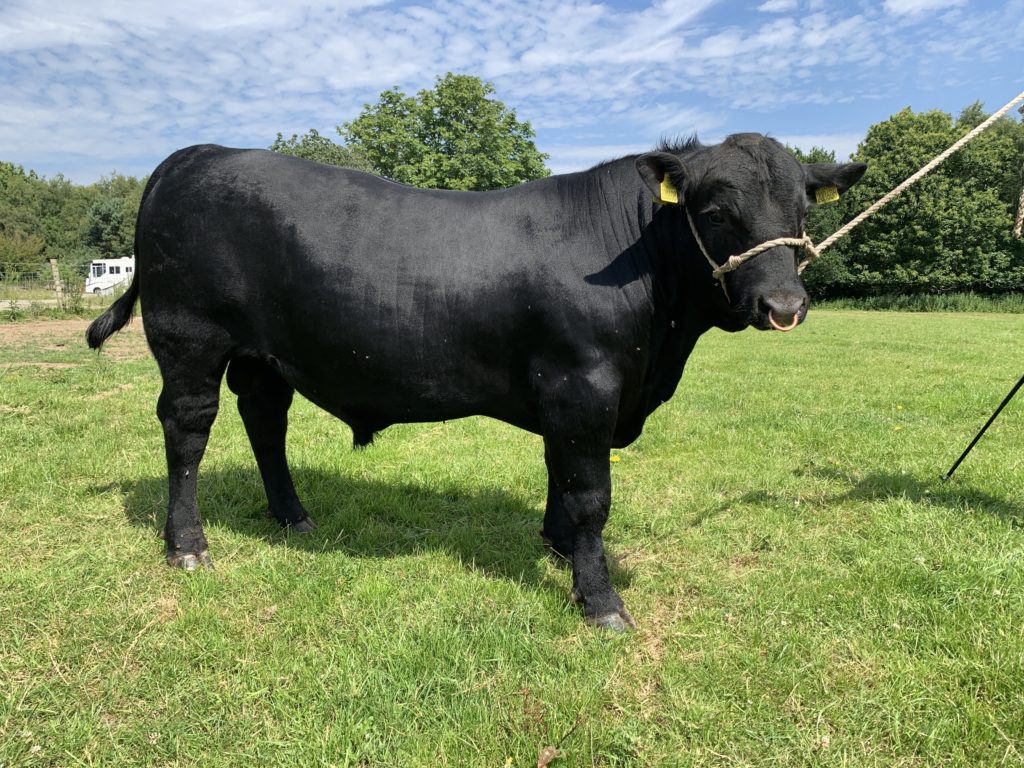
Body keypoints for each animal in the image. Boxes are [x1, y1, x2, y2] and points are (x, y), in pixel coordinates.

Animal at [87, 134, 865, 630]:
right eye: (716, 210)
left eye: (801, 209)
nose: (784, 306)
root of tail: (194, 155)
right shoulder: (583, 385)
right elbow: (590, 495)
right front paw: (600, 599)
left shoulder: (571, 397)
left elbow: (560, 477)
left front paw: (558, 549)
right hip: (190, 338)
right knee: (187, 433)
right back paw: (187, 545)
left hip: (262, 356)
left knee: (265, 423)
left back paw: (293, 516)